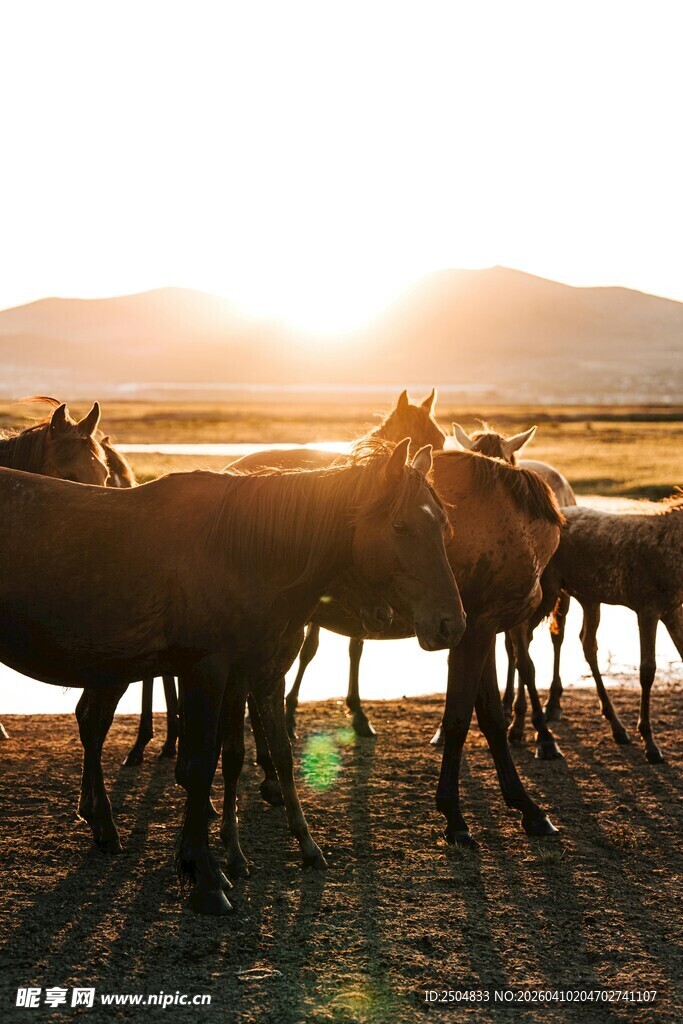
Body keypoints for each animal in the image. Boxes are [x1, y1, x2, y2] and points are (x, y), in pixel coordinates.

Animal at [0, 440, 464, 914]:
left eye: (444, 527)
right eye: (400, 526)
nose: (451, 624)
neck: (234, 552)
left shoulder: (257, 672)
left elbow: (271, 752)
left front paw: (291, 847)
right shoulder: (208, 670)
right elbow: (202, 765)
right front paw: (206, 875)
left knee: (91, 723)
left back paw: (103, 826)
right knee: (93, 724)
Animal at [235, 446, 564, 849]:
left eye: (445, 530)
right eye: (401, 529)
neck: (512, 523)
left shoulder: (481, 632)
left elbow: (491, 720)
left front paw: (526, 807)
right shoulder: (474, 634)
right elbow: (458, 720)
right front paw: (454, 816)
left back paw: (270, 777)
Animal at [451, 422, 577, 756]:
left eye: (504, 465)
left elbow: (528, 666)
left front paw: (542, 734)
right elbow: (513, 658)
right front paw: (515, 718)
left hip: (558, 601)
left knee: (554, 640)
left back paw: (551, 704)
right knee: (512, 649)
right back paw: (510, 705)